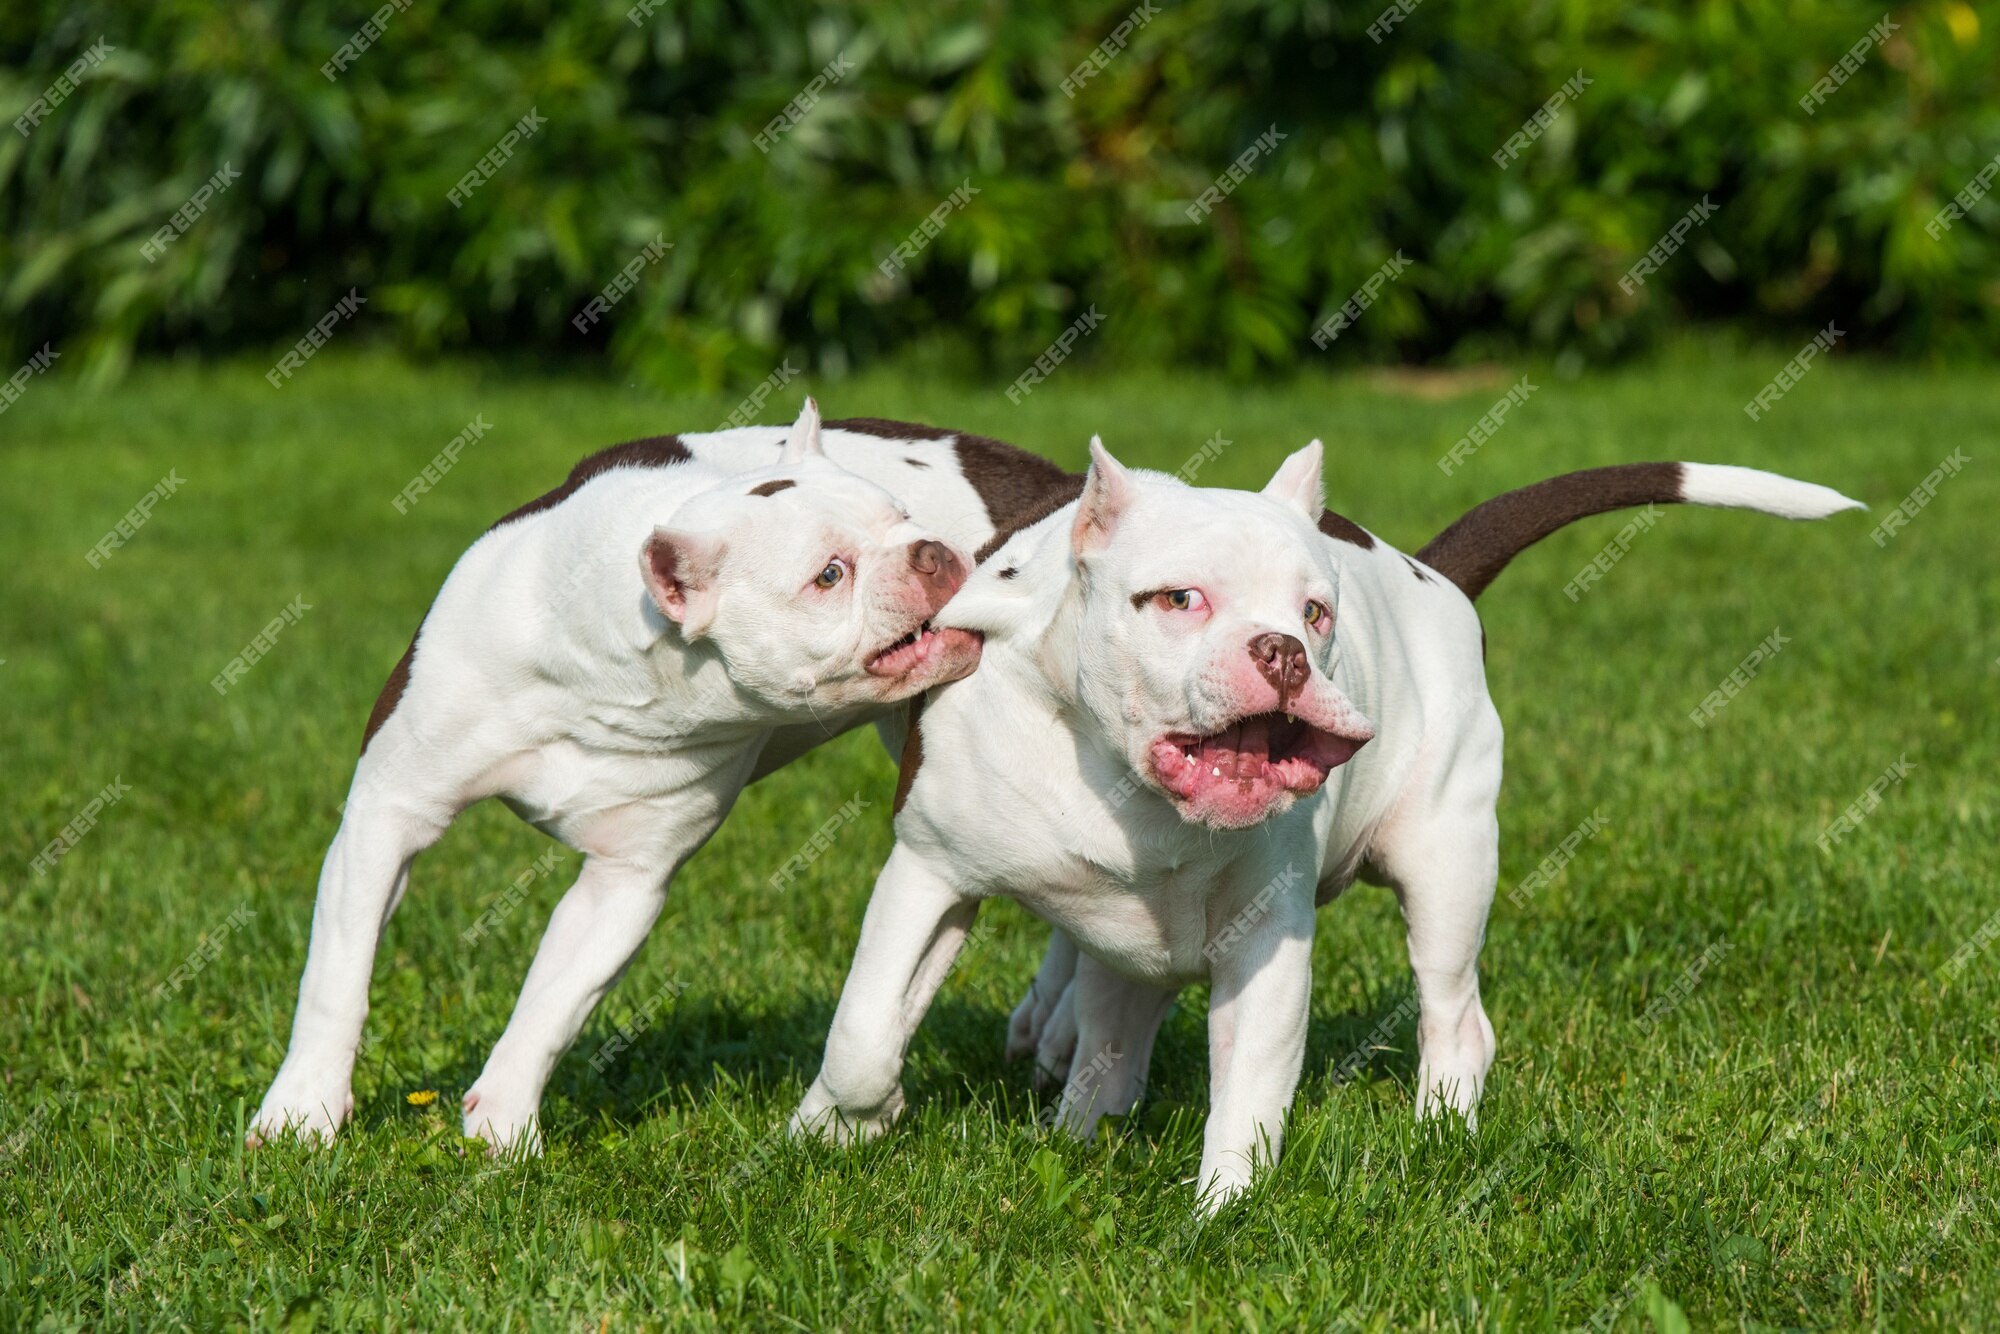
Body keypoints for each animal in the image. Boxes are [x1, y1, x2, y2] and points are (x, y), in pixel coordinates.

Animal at [256, 400, 1088, 1160]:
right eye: (828, 575)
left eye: (904, 515)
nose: (932, 550)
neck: (611, 671)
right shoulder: (388, 812)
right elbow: (337, 975)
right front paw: (303, 1111)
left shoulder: (625, 881)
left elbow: (551, 1007)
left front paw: (502, 1125)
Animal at [784, 436, 1856, 1208]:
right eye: (1178, 598)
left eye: (1315, 612)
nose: (1284, 651)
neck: (1118, 775)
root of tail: (1434, 576)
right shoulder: (929, 869)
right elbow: (866, 1028)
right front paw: (837, 1129)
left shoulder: (1267, 947)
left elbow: (1251, 1087)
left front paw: (1224, 1214)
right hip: (1125, 949)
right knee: (1111, 1038)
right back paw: (1079, 1130)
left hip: (1448, 867)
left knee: (1454, 1017)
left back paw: (1439, 1133)